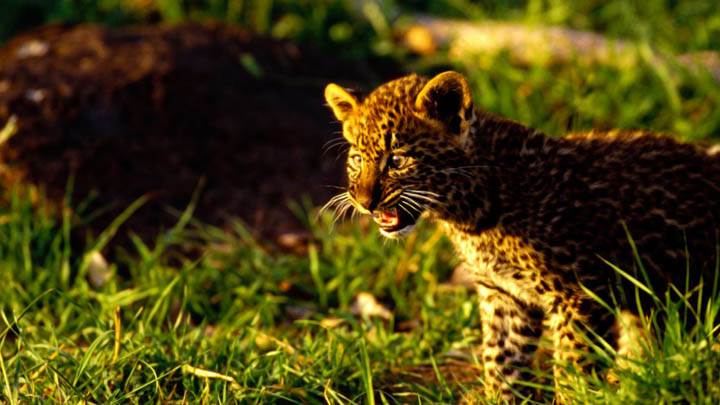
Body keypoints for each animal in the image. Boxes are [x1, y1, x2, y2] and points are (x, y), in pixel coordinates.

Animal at [323, 71, 720, 402]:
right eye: (357, 159)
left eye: (397, 160)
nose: (363, 201)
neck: (470, 213)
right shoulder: (504, 295)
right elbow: (501, 362)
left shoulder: (579, 296)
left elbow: (572, 370)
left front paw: (575, 397)